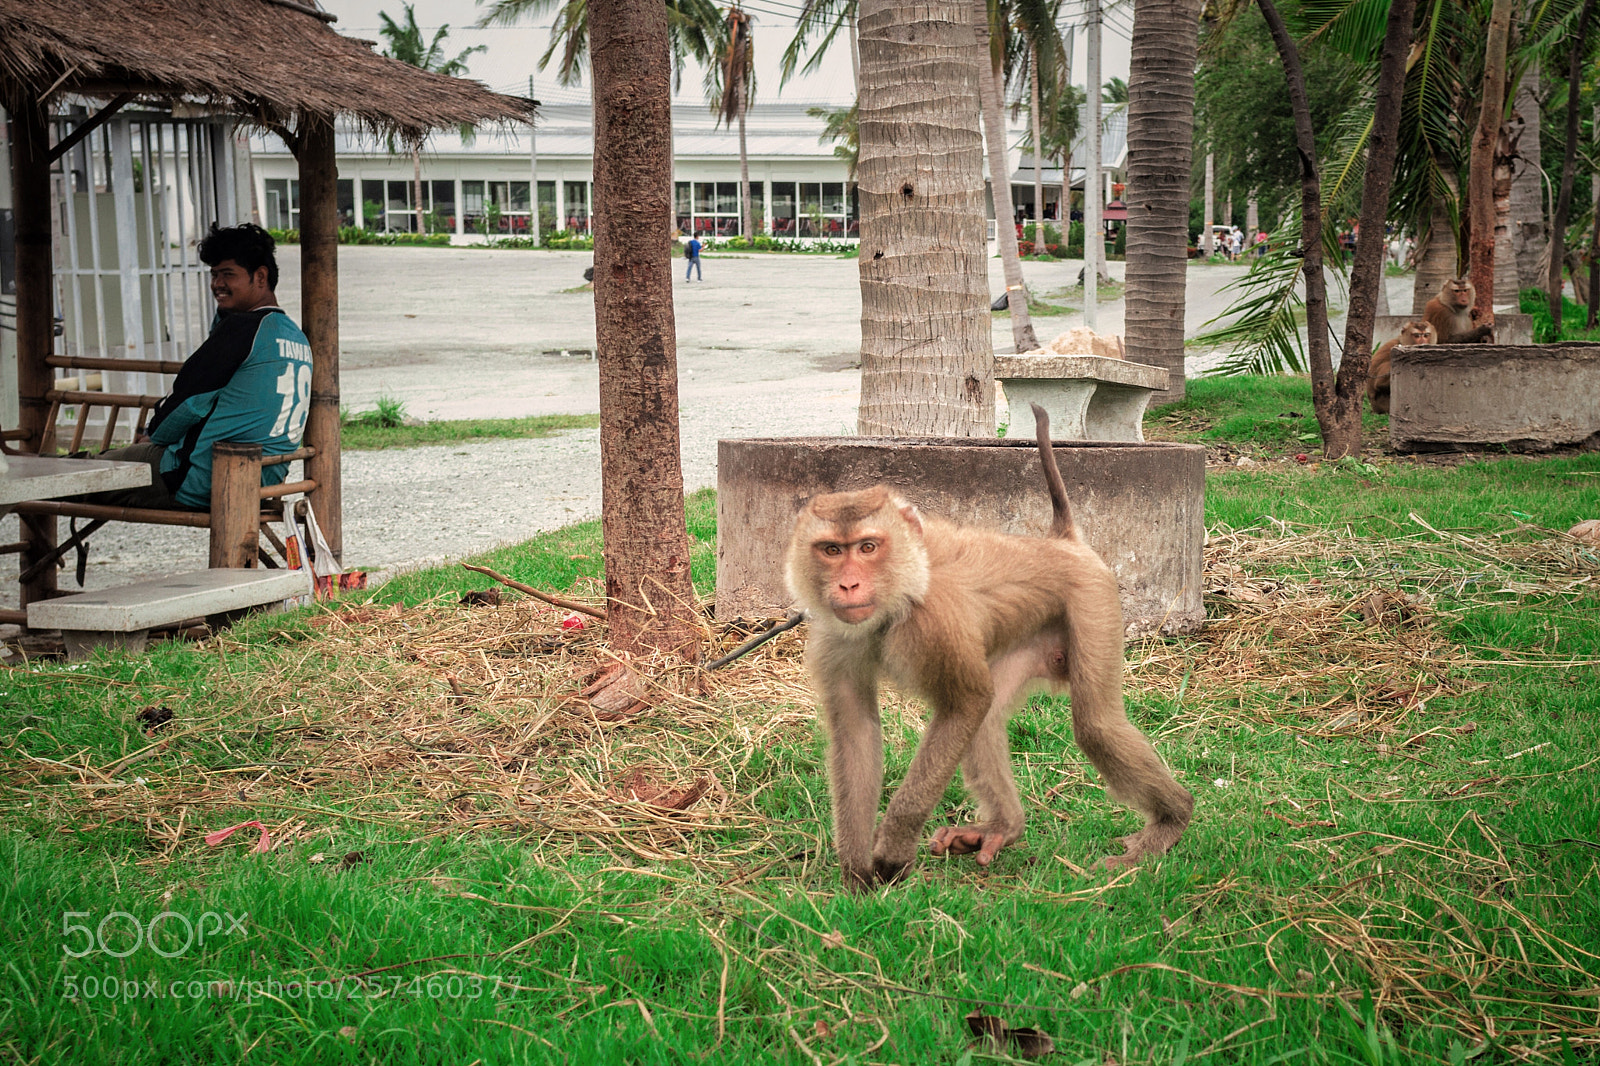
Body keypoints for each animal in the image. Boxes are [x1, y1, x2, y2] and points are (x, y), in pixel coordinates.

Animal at [785, 405, 1194, 890]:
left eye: (867, 547)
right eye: (831, 550)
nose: (848, 584)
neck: (897, 601)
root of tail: (1061, 542)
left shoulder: (936, 623)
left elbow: (965, 703)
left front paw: (894, 847)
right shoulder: (838, 639)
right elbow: (856, 730)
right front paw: (854, 873)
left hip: (1092, 600)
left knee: (1095, 724)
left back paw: (1172, 821)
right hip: (1032, 636)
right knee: (991, 715)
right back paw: (1005, 828)